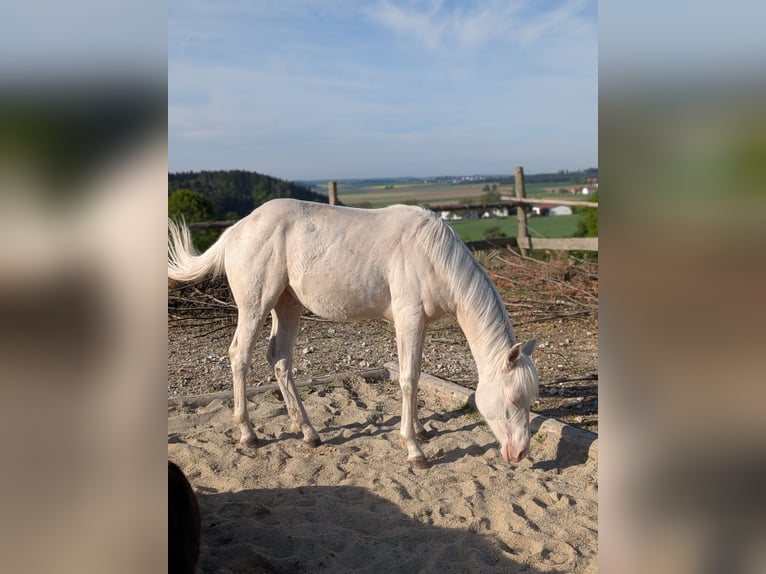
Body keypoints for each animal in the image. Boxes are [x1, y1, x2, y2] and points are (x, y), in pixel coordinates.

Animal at [168, 198, 538, 468]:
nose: (520, 452)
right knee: (240, 356)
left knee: (279, 359)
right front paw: (414, 450)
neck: (431, 255)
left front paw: (420, 430)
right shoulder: (408, 319)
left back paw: (308, 431)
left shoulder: (421, 324)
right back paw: (248, 433)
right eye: (511, 399)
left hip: (287, 304)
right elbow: (408, 378)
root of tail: (236, 230)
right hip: (256, 304)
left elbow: (416, 376)